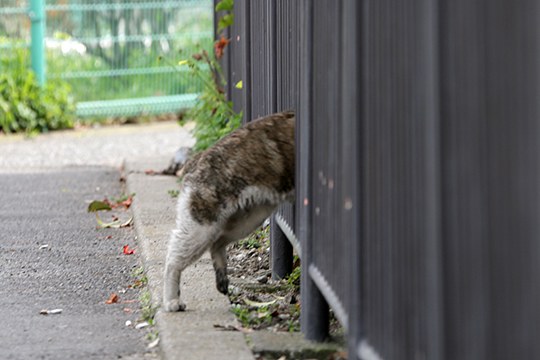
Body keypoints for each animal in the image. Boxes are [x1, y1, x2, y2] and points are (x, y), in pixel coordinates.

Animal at [163, 111, 296, 310]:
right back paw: (172, 301)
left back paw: (222, 278)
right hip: (202, 226)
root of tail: (197, 159)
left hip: (248, 219)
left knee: (217, 243)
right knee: (174, 259)